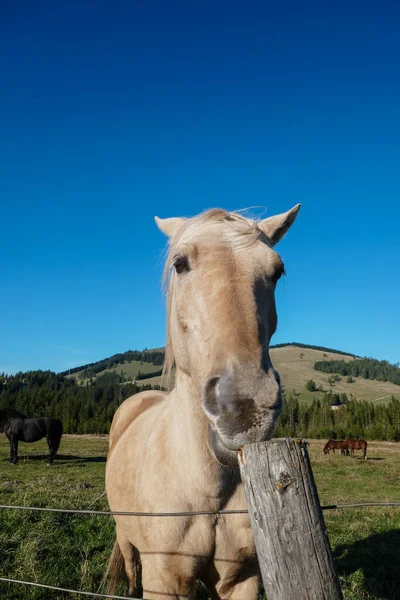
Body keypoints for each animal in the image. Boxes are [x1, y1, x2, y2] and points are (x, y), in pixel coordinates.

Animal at [105, 205, 300, 600]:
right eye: (180, 264)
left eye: (277, 270)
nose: (245, 407)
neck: (209, 489)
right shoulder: (164, 581)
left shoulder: (242, 578)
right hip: (126, 536)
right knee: (130, 567)